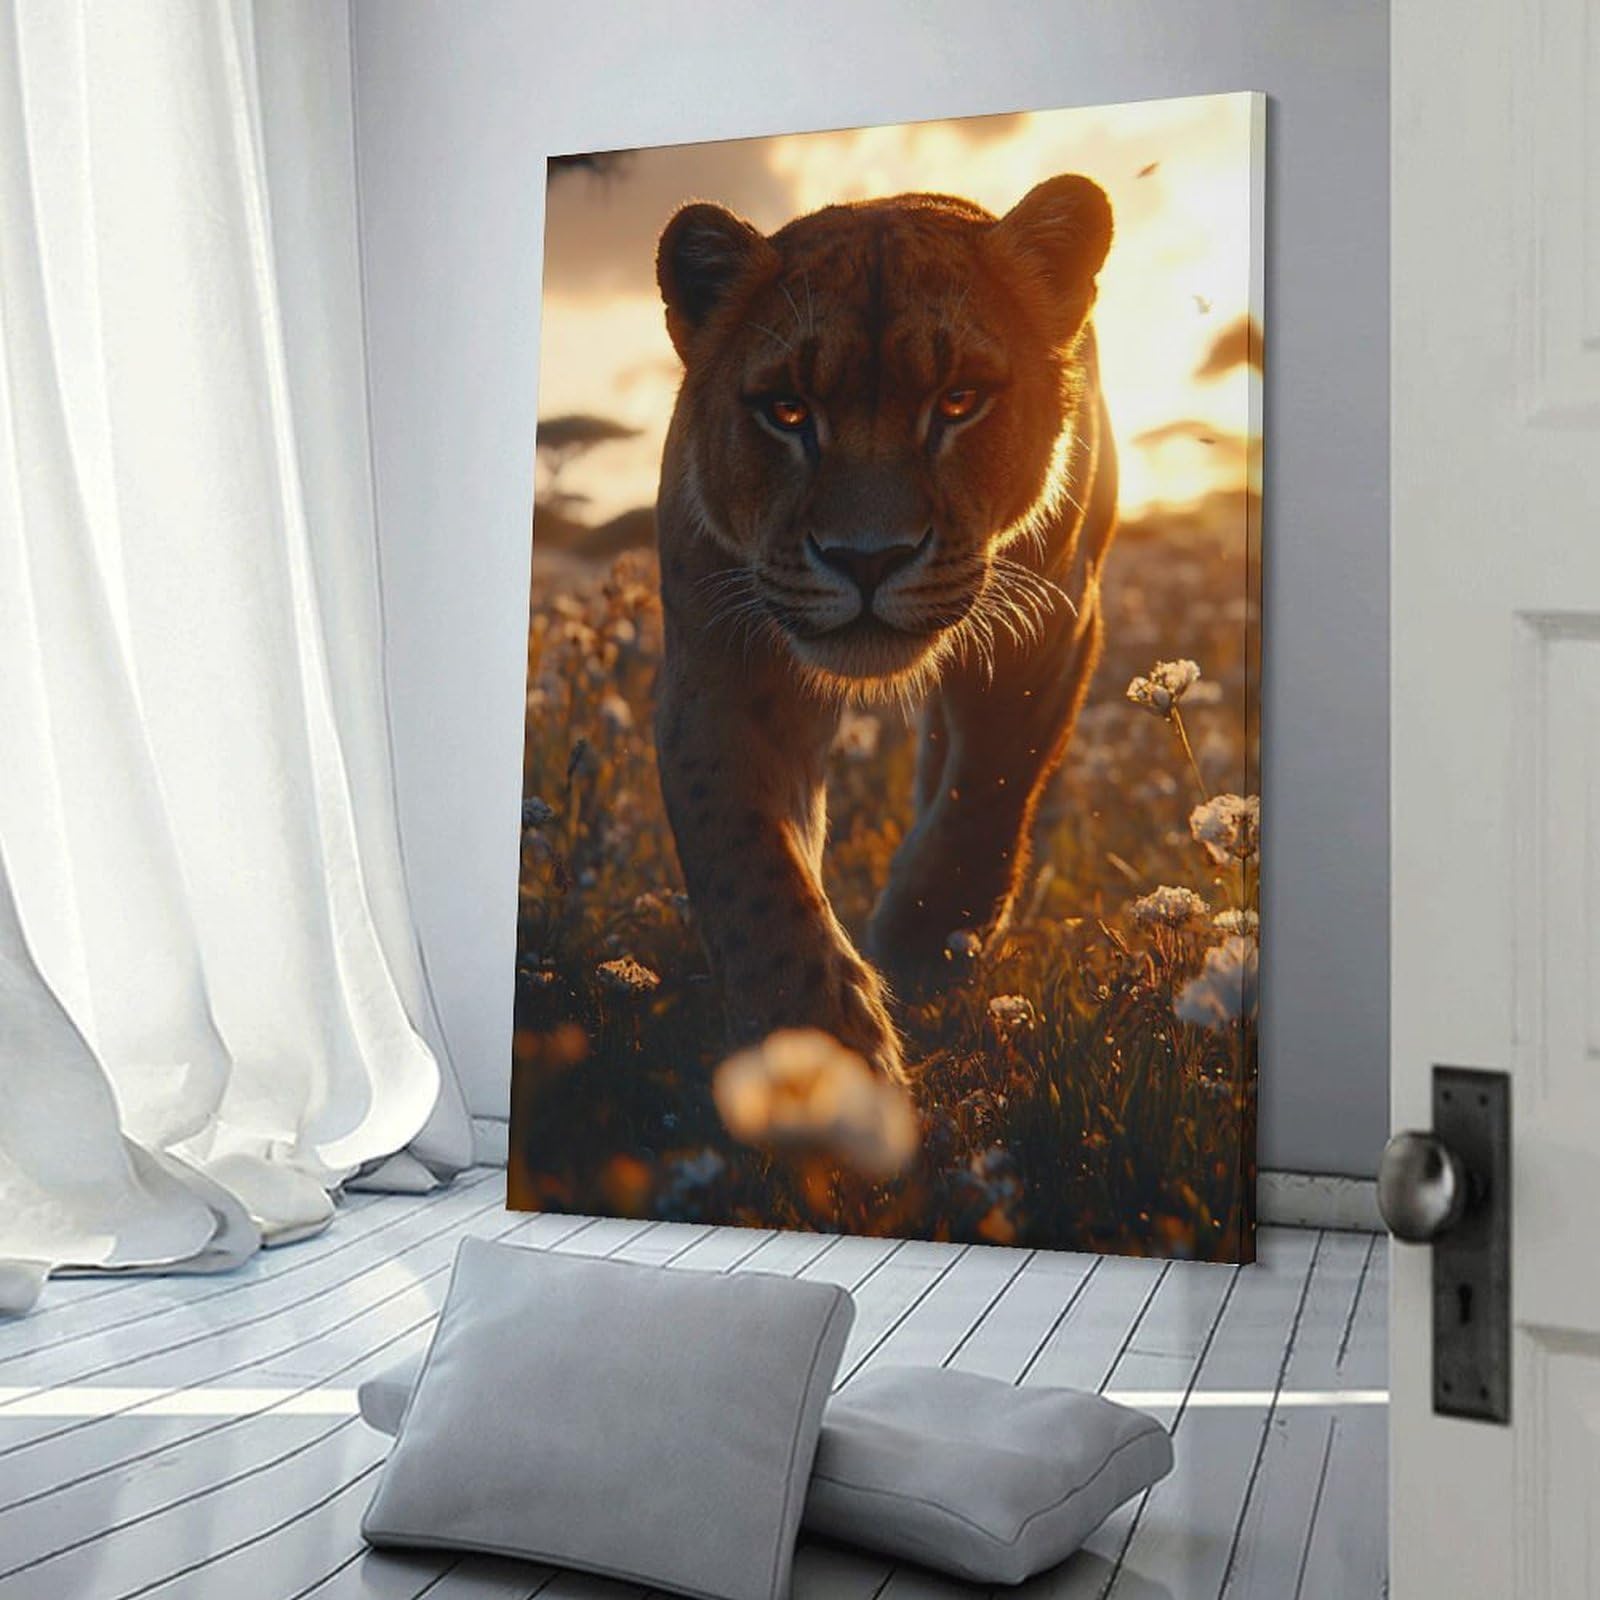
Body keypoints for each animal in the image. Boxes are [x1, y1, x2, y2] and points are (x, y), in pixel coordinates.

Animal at [652, 176, 1118, 1080]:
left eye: (959, 402)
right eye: (788, 411)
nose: (867, 559)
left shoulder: (1051, 620)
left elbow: (990, 786)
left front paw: (923, 936)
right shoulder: (718, 665)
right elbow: (749, 863)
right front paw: (819, 1054)